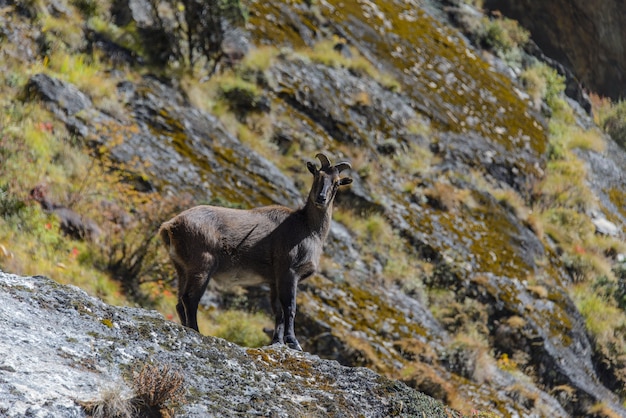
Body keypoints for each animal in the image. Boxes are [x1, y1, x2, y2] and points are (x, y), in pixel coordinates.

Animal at [158, 153, 352, 350]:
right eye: (318, 175)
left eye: (336, 182)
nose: (321, 198)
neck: (307, 228)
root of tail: (170, 225)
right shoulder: (288, 271)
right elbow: (290, 307)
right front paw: (293, 342)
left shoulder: (274, 280)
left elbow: (278, 311)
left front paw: (277, 341)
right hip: (202, 265)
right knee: (190, 299)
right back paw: (196, 330)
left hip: (181, 267)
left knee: (179, 302)